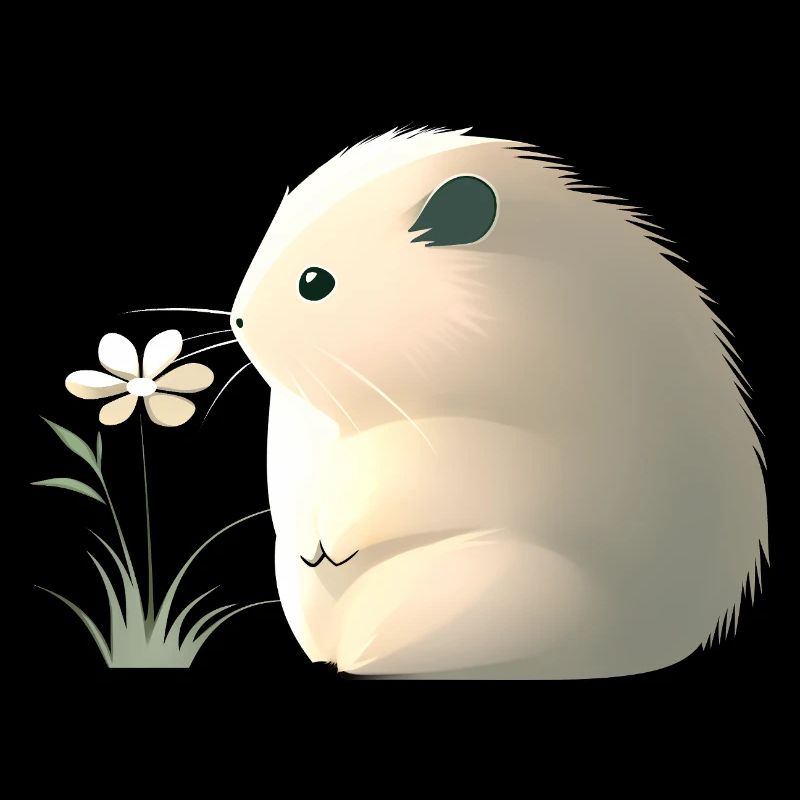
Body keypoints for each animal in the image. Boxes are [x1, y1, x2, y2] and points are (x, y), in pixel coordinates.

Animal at [230, 127, 767, 678]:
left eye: (314, 282)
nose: (237, 320)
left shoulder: (471, 447)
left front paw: (335, 544)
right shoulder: (296, 432)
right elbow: (295, 490)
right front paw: (312, 545)